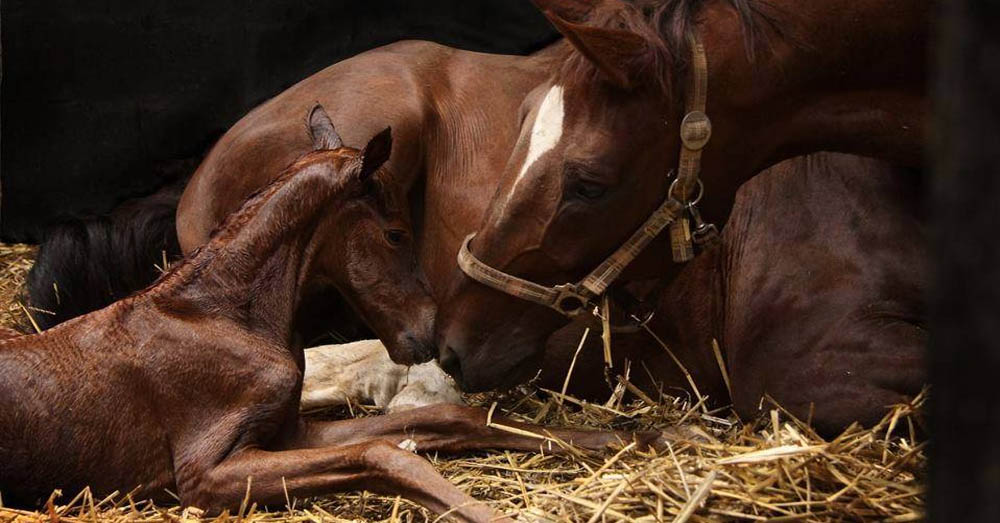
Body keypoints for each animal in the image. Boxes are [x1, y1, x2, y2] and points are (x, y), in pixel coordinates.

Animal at [0, 105, 656, 520]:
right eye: (396, 233)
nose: (431, 334)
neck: (221, 314)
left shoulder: (288, 432)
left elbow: (446, 421)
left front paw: (625, 436)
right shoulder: (205, 473)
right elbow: (382, 452)